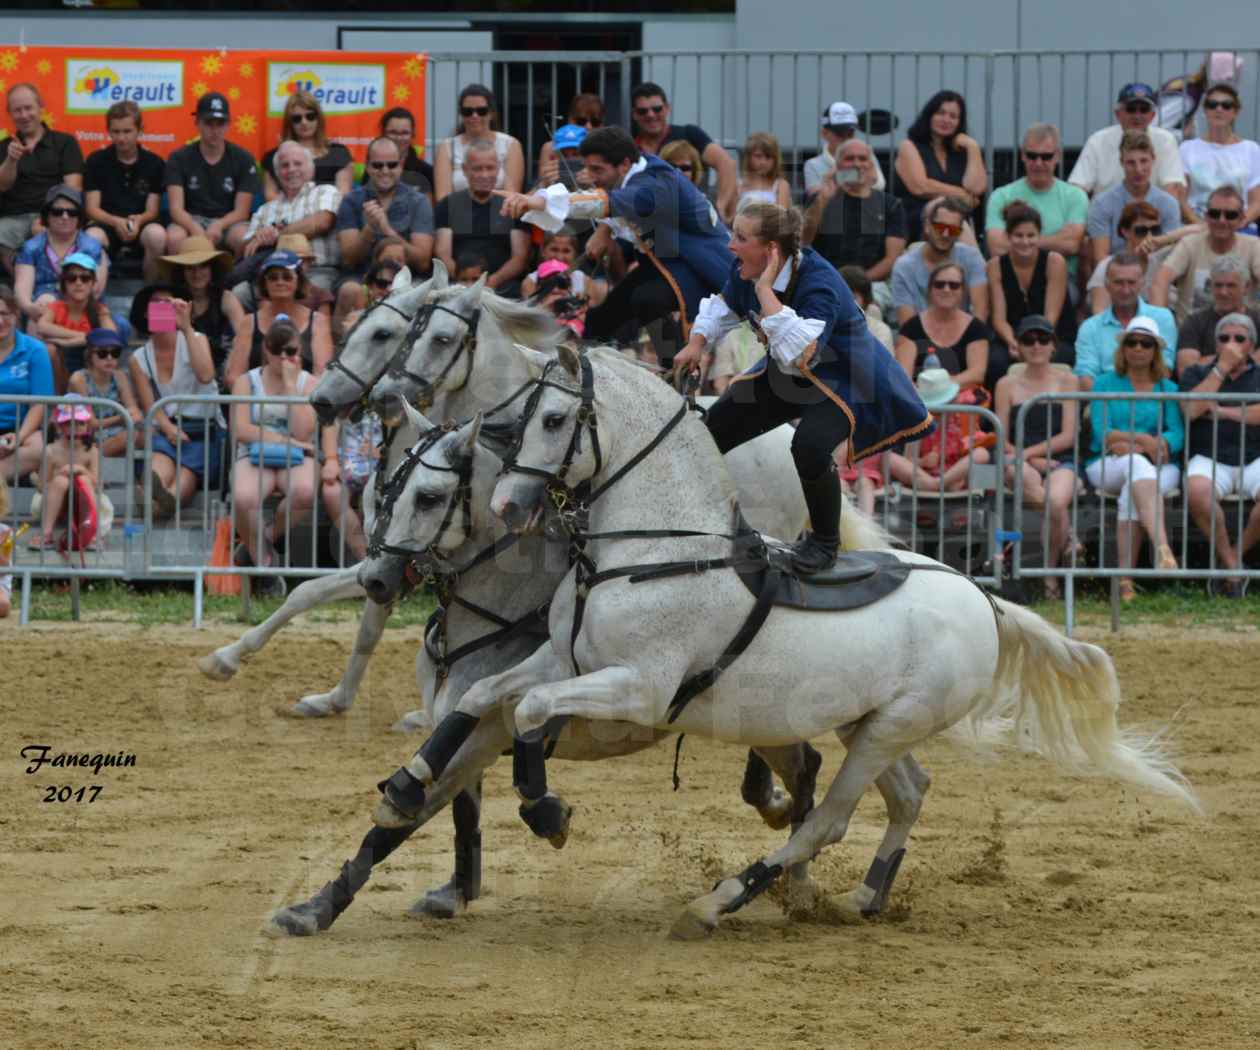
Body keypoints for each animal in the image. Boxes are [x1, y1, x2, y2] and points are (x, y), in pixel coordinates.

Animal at [378, 342, 1194, 932]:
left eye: (553, 420)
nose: (510, 504)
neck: (653, 549)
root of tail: (981, 597)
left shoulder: (638, 689)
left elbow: (529, 712)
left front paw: (545, 810)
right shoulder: (562, 657)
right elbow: (484, 696)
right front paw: (405, 785)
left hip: (887, 728)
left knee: (825, 823)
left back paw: (723, 899)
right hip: (871, 725)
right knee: (908, 794)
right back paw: (864, 897)